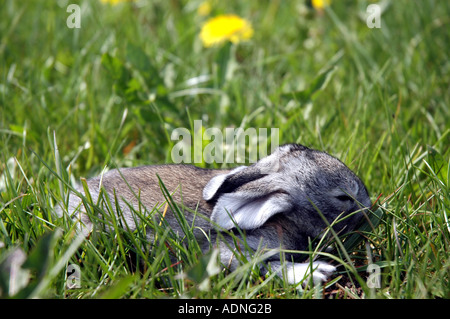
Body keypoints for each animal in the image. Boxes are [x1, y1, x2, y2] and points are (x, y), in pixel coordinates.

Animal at [58, 145, 370, 288]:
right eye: (343, 197)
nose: (369, 208)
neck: (285, 217)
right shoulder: (229, 252)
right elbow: (263, 266)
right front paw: (316, 272)